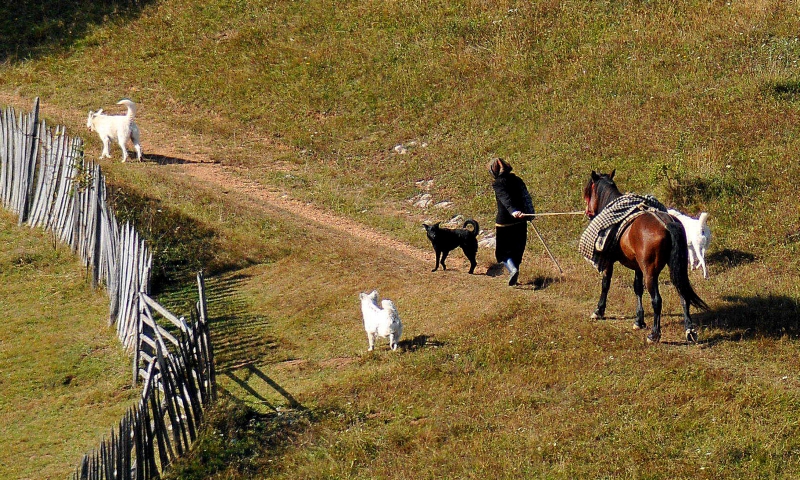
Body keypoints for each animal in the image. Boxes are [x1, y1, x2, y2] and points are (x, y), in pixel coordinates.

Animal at [580, 171, 708, 344]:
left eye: (588, 192)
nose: (588, 212)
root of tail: (667, 223)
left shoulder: (609, 262)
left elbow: (606, 284)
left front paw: (599, 311)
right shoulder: (638, 267)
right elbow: (637, 289)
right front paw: (639, 320)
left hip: (650, 273)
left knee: (657, 300)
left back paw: (655, 334)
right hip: (675, 269)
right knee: (683, 294)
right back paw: (689, 330)